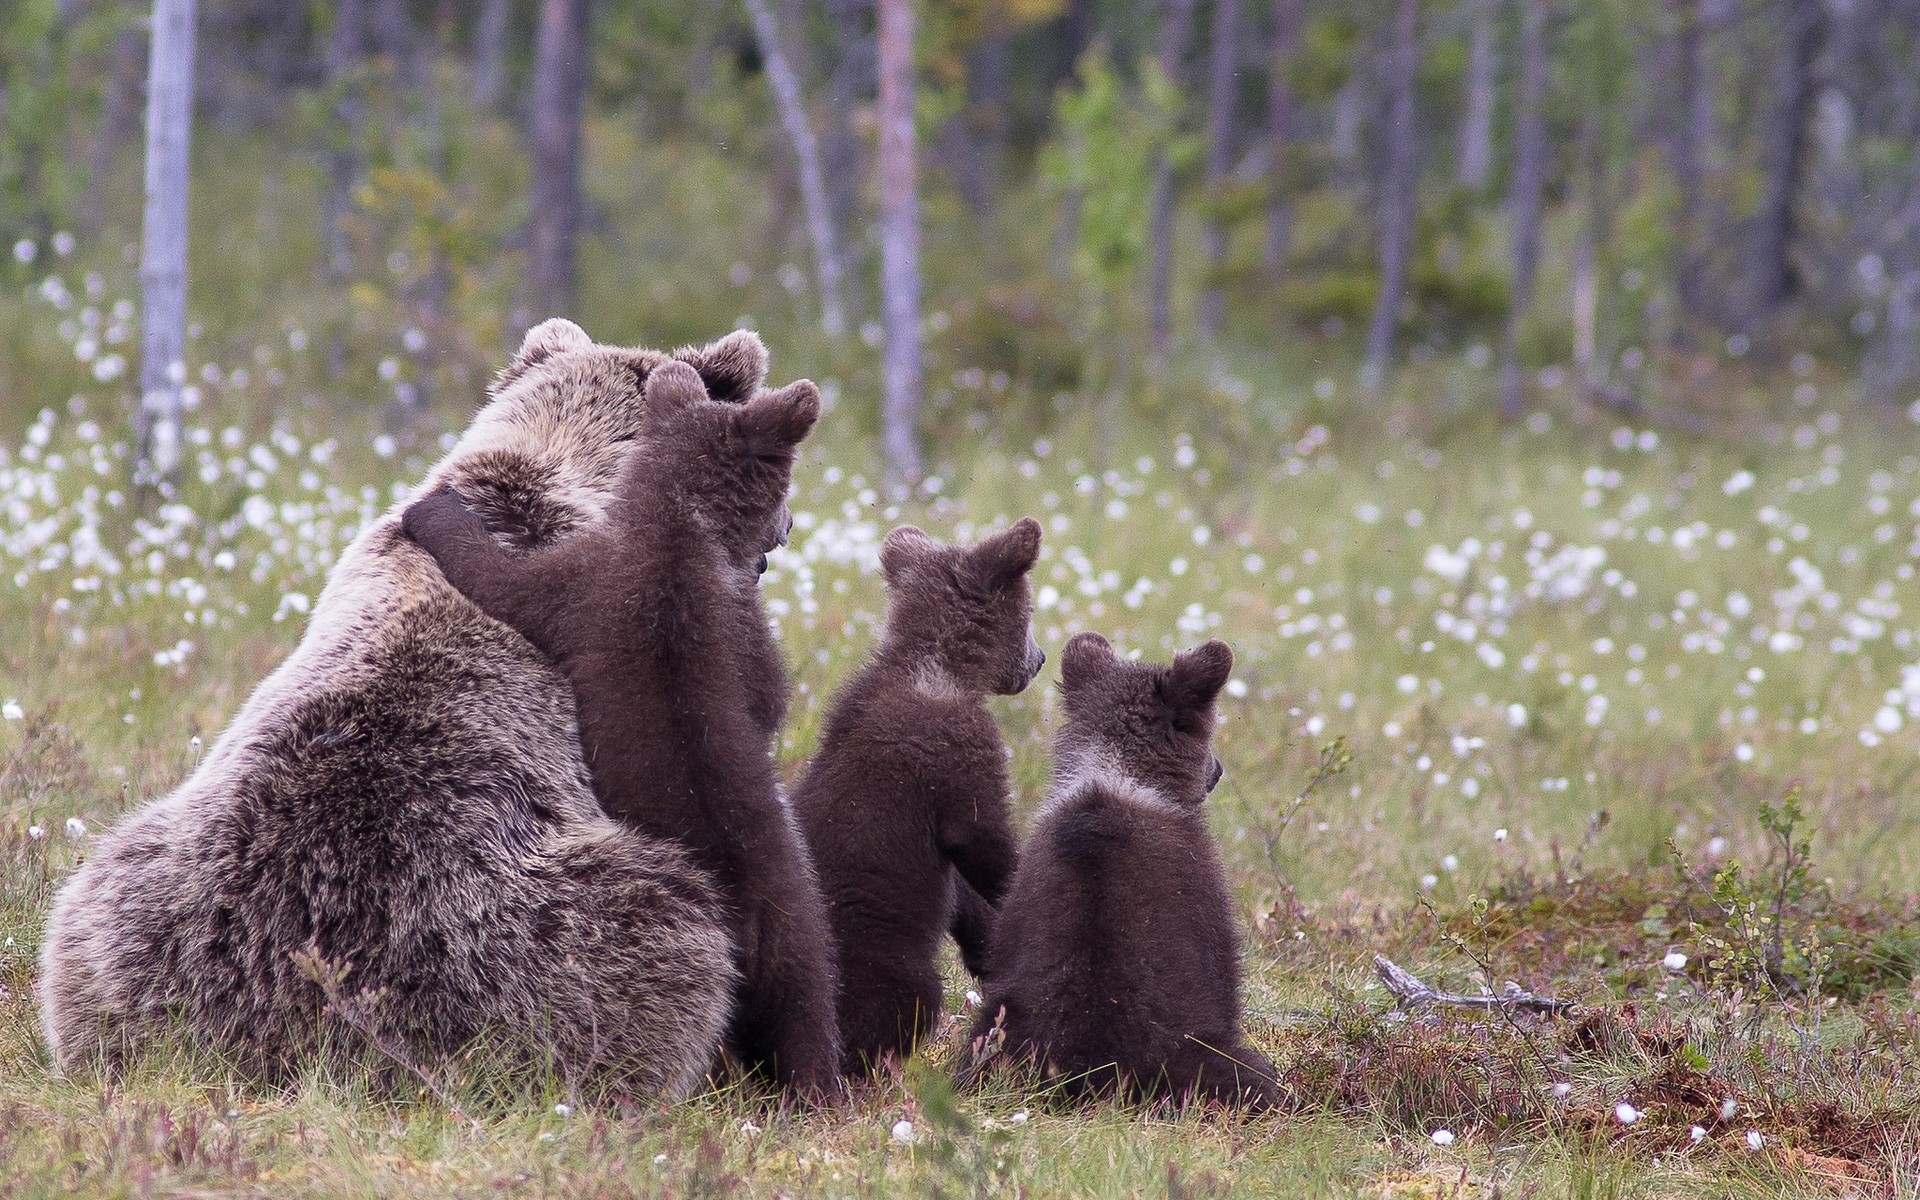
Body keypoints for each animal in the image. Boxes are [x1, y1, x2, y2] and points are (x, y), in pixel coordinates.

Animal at [401, 355, 844, 1098]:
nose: (788, 529)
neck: (678, 529)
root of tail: (750, 915)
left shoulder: (585, 584)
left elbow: (499, 578)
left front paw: (433, 510)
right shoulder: (728, 625)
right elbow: (764, 690)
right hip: (801, 920)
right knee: (806, 1004)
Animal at [787, 518, 1044, 1075]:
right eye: (1030, 613)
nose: (1038, 660)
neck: (939, 667)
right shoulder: (956, 757)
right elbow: (985, 841)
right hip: (883, 957)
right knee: (903, 1000)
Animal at [975, 633, 1274, 1105]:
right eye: (1200, 731)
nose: (1218, 770)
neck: (1120, 772)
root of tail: (1097, 1074)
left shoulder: (1016, 899)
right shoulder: (1203, 893)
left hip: (1003, 1029)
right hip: (1193, 1051)